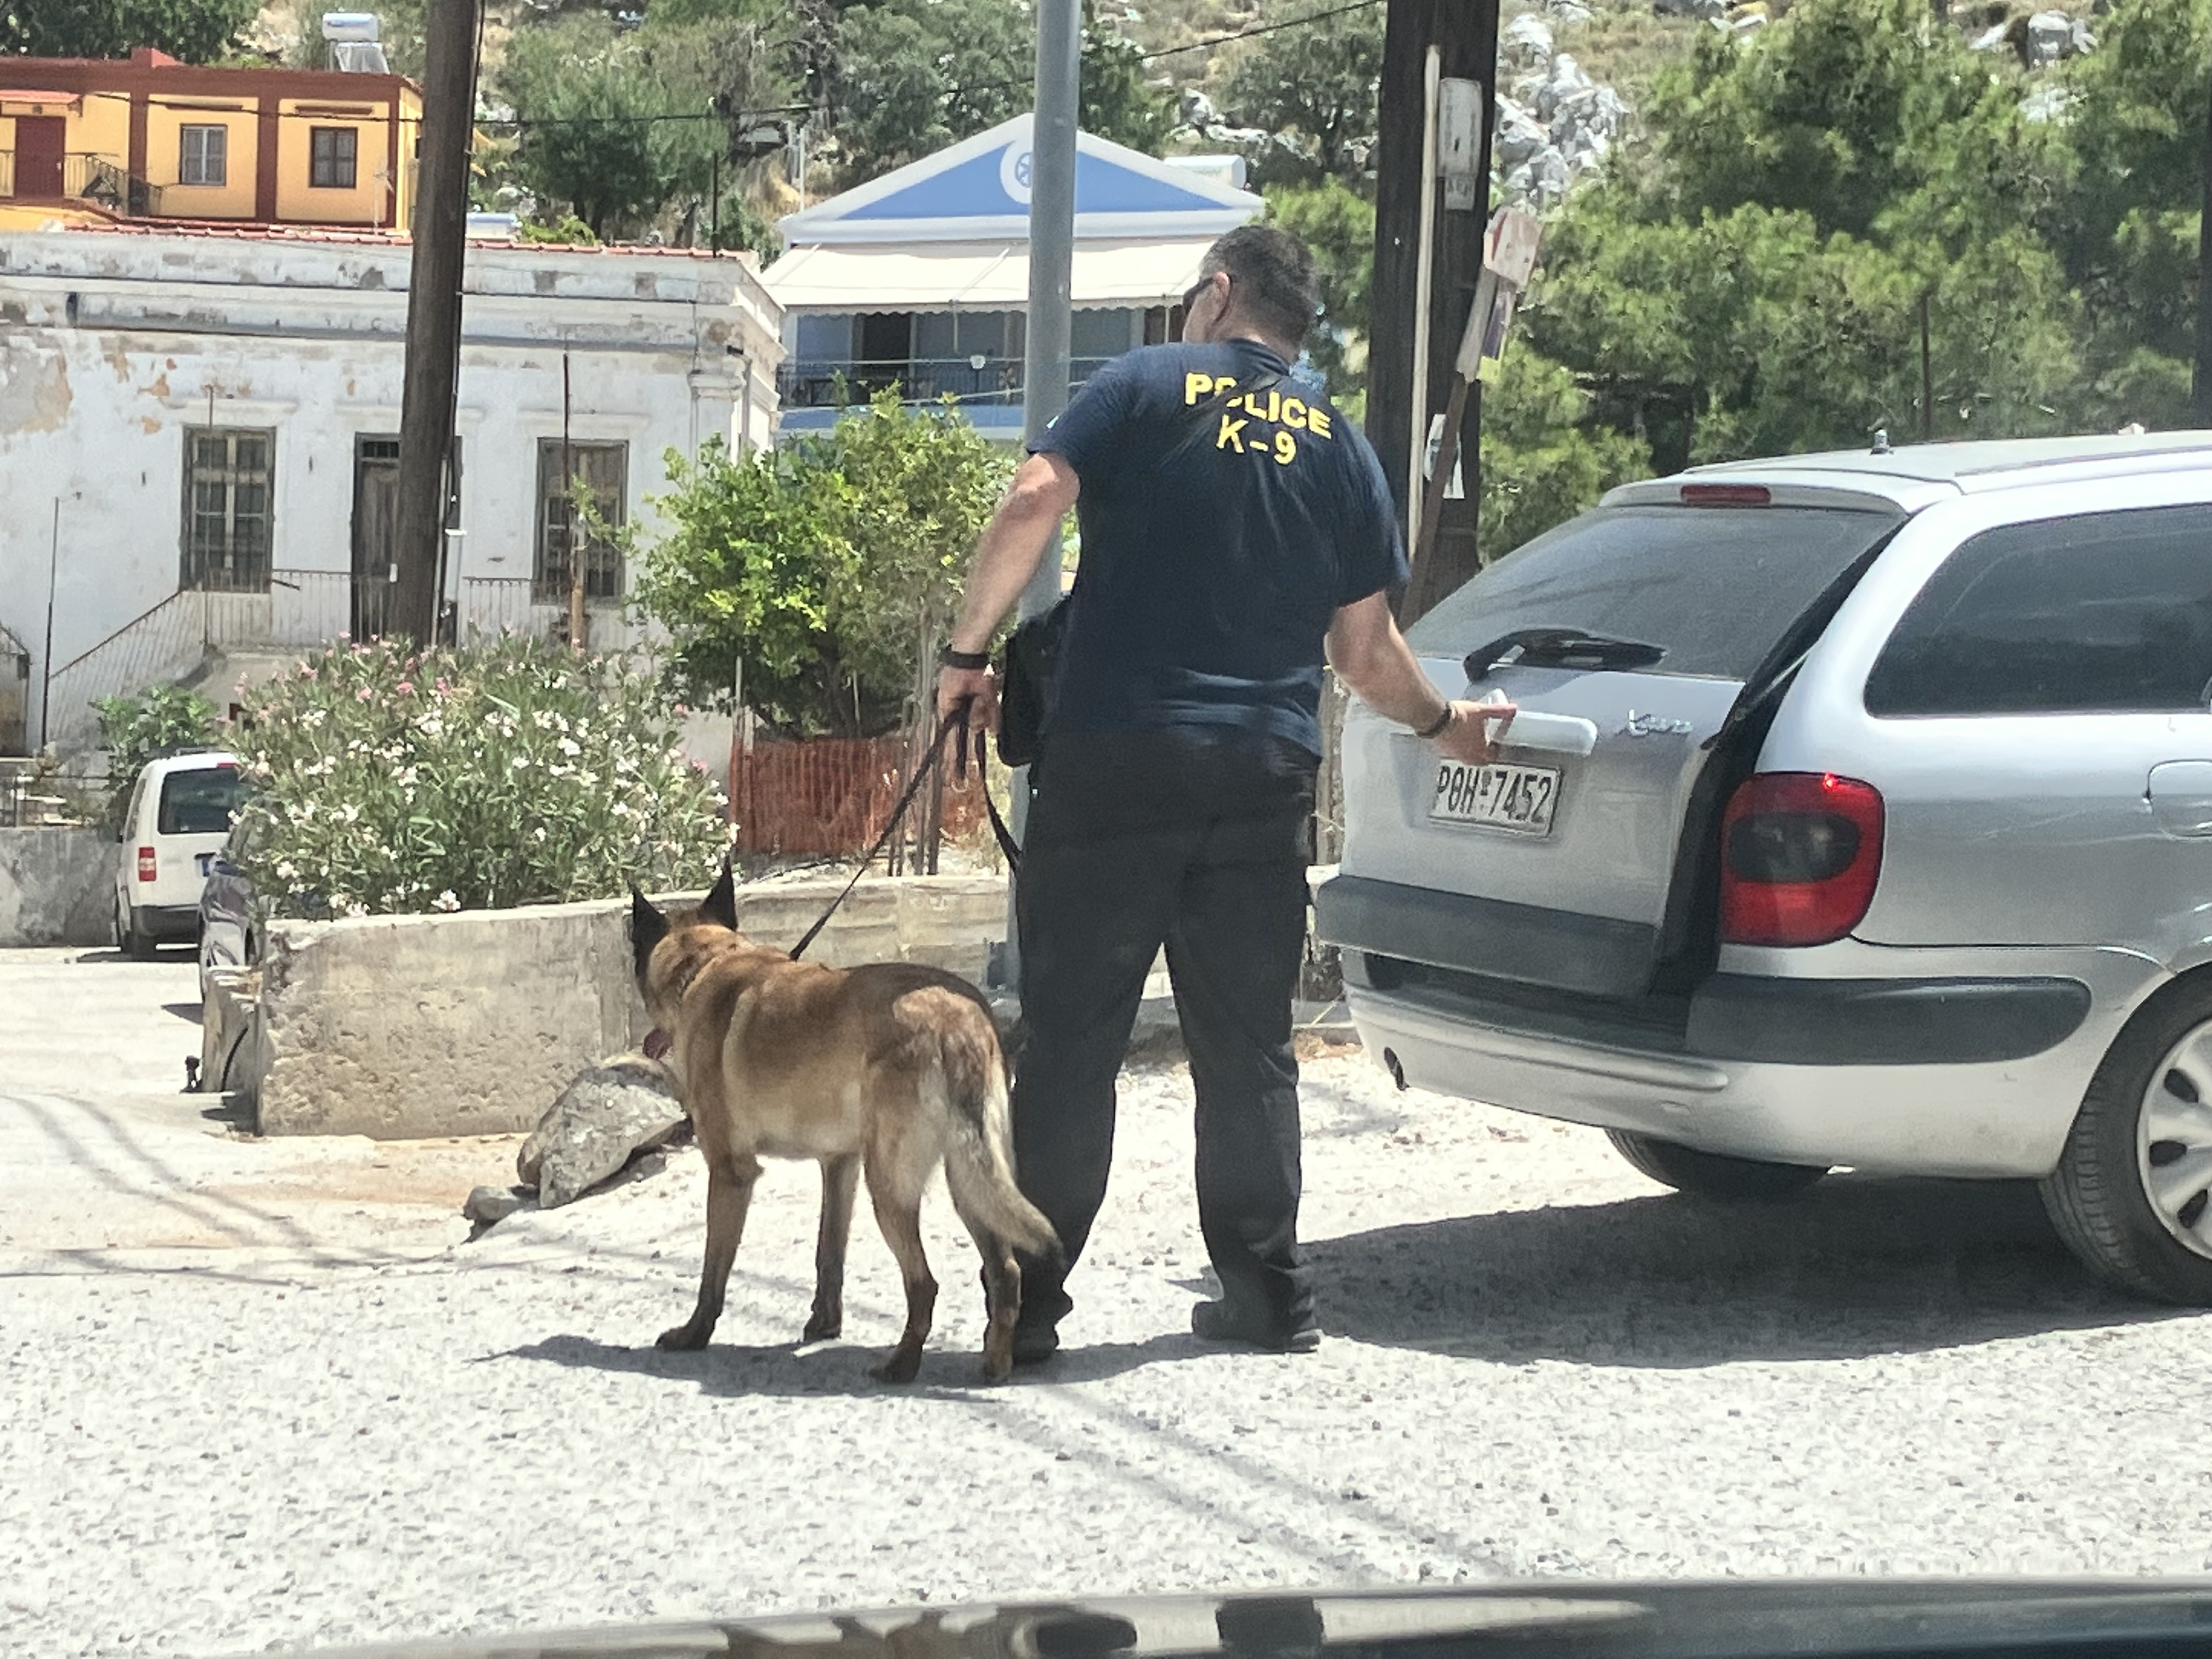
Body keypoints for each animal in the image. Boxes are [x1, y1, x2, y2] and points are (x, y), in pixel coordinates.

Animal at [633, 862, 1062, 1380]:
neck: (705, 964)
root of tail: (956, 1021)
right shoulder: (839, 1166)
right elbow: (829, 1254)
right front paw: (825, 1323)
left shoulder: (732, 1174)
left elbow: (714, 1269)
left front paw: (695, 1334)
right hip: (969, 1183)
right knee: (1006, 1272)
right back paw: (995, 1364)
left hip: (891, 1188)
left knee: (924, 1283)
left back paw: (901, 1365)